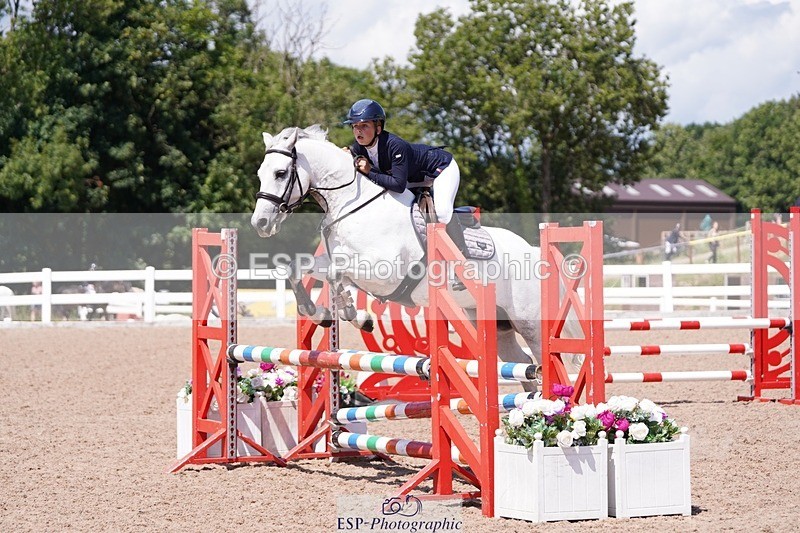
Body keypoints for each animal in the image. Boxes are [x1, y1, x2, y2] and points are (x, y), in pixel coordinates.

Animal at [250, 125, 579, 392]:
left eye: (281, 173)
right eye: (261, 174)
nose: (260, 224)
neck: (352, 204)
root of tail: (534, 252)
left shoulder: (381, 271)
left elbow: (335, 275)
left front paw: (357, 316)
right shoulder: (337, 259)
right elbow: (298, 269)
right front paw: (320, 313)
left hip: (530, 322)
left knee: (549, 361)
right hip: (492, 323)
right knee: (522, 363)